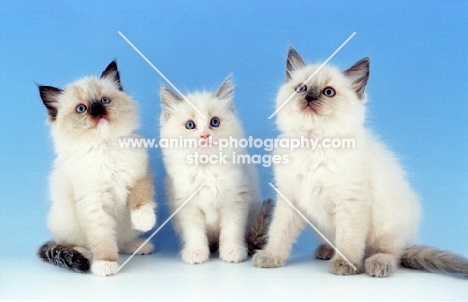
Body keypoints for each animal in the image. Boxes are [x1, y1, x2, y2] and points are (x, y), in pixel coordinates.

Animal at [37, 60, 157, 276]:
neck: (105, 147)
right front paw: (106, 264)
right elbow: (102, 239)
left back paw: (138, 246)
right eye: (81, 108)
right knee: (71, 243)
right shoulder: (93, 203)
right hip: (65, 222)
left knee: (121, 241)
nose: (97, 110)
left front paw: (144, 220)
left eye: (104, 100)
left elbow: (141, 199)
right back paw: (84, 254)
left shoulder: (140, 175)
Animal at [159, 78, 266, 264]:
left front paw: (232, 252)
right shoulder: (187, 206)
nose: (204, 136)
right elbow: (194, 233)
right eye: (190, 125)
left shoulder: (235, 202)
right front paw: (196, 253)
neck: (206, 169)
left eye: (214, 122)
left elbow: (231, 231)